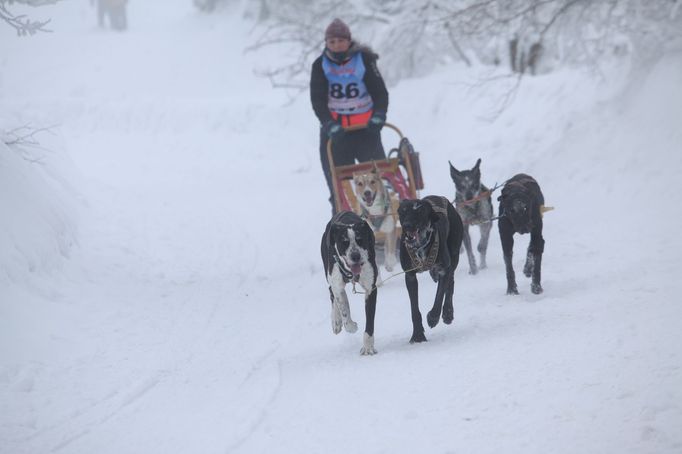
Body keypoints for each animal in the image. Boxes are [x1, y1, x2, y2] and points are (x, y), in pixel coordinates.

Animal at [318, 211, 378, 356]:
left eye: (360, 239)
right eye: (344, 242)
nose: (355, 256)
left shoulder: (371, 288)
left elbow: (370, 321)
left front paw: (368, 347)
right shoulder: (337, 284)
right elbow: (344, 310)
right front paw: (350, 325)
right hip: (330, 274)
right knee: (331, 292)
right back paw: (336, 321)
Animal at [394, 197, 462, 342]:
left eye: (419, 211)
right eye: (403, 211)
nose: (407, 225)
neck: (419, 246)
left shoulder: (444, 269)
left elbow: (439, 296)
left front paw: (433, 317)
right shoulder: (410, 276)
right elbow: (414, 310)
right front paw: (418, 335)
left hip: (454, 256)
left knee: (450, 284)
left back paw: (448, 312)